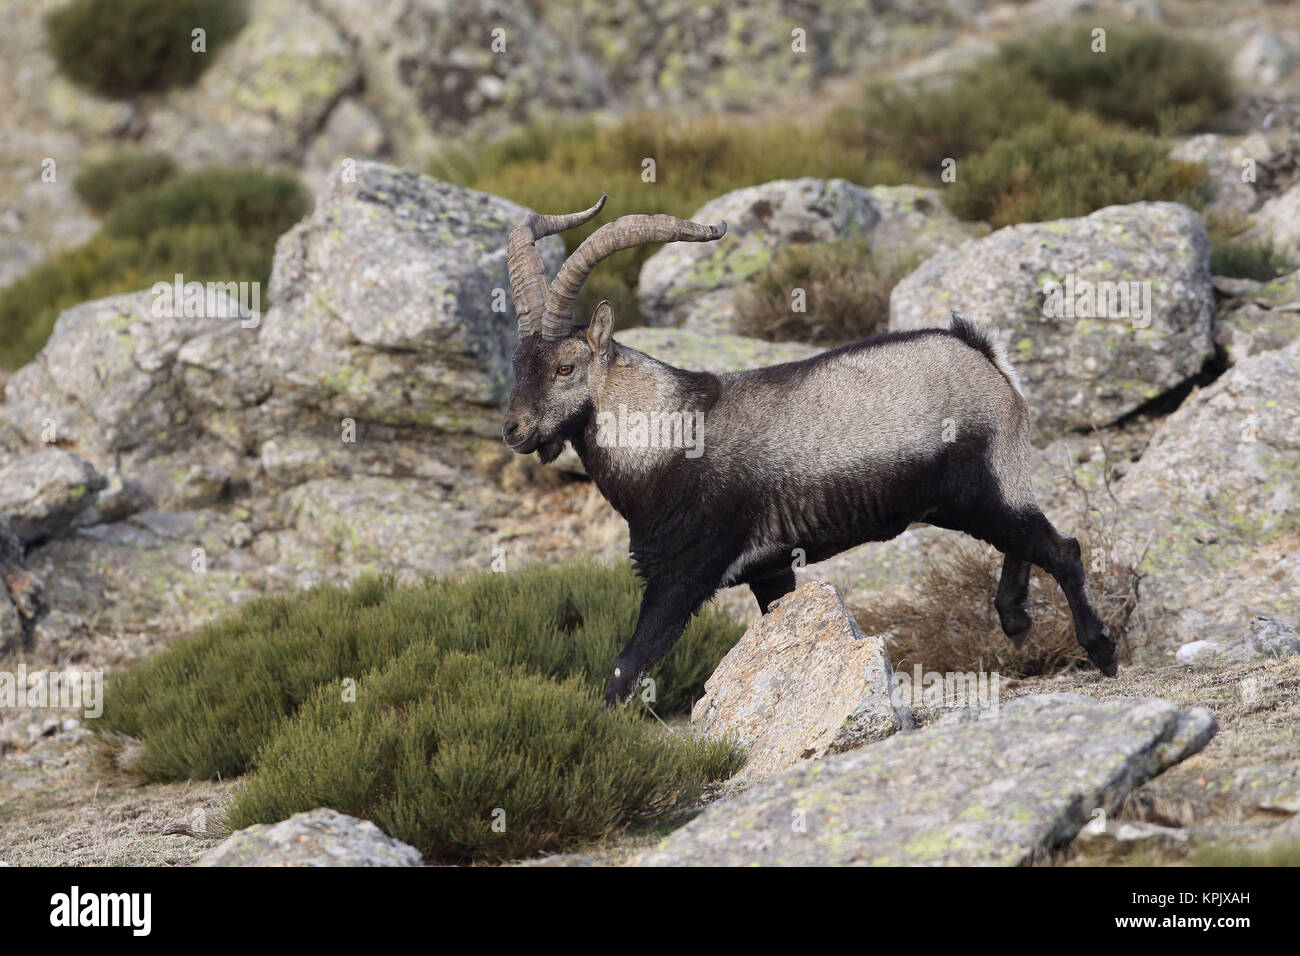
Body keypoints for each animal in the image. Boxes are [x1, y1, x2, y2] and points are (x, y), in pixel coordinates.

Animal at [496, 196, 1118, 702]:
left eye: (566, 367)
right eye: (517, 363)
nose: (514, 430)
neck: (665, 434)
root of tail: (981, 354)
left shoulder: (684, 573)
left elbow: (627, 667)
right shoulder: (769, 570)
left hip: (977, 490)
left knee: (1062, 547)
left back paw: (1101, 650)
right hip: (982, 493)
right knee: (1027, 536)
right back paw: (1014, 620)